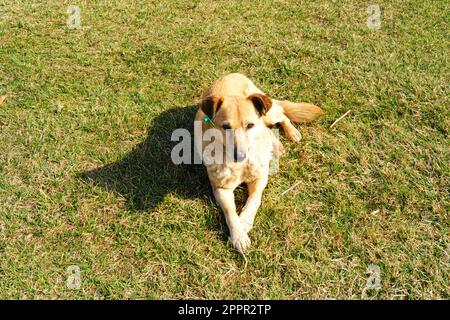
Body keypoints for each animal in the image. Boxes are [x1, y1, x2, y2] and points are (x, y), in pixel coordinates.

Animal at [193, 74, 324, 254]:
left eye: (249, 125)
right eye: (226, 127)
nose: (240, 156)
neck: (241, 167)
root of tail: (233, 74)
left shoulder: (260, 178)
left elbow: (255, 200)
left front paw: (245, 221)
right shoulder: (221, 189)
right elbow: (230, 212)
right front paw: (239, 235)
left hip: (269, 114)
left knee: (281, 115)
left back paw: (291, 133)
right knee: (269, 129)